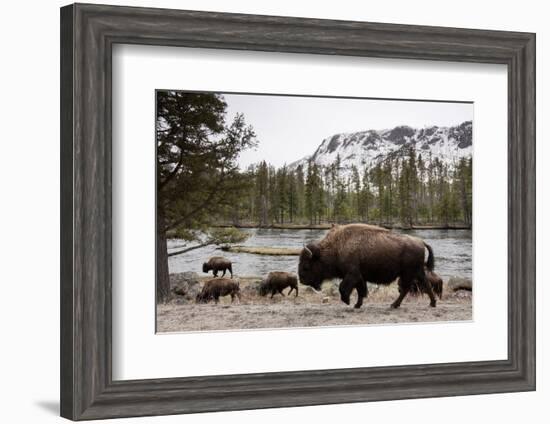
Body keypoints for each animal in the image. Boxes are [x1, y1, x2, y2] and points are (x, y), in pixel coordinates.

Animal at [300, 224, 438, 310]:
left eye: (306, 266)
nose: (302, 280)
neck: (336, 247)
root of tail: (421, 242)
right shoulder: (360, 277)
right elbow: (361, 291)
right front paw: (357, 305)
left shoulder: (352, 275)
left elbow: (343, 288)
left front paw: (347, 301)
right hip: (416, 272)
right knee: (424, 285)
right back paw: (431, 303)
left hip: (408, 273)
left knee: (406, 289)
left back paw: (394, 305)